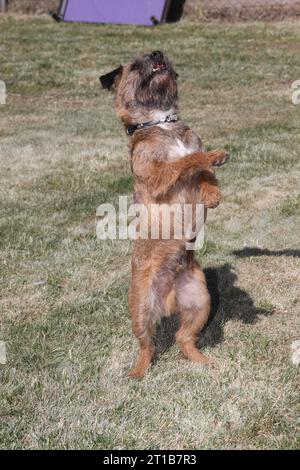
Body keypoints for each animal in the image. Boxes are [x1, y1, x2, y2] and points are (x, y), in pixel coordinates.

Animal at [99, 50, 229, 378]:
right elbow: (189, 160)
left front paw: (212, 194)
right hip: (142, 307)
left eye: (155, 53)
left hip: (201, 300)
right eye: (135, 65)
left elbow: (202, 171)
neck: (162, 122)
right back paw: (138, 372)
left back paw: (202, 360)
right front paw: (215, 156)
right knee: (148, 345)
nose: (156, 54)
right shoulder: (158, 174)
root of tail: (169, 298)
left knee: (184, 338)